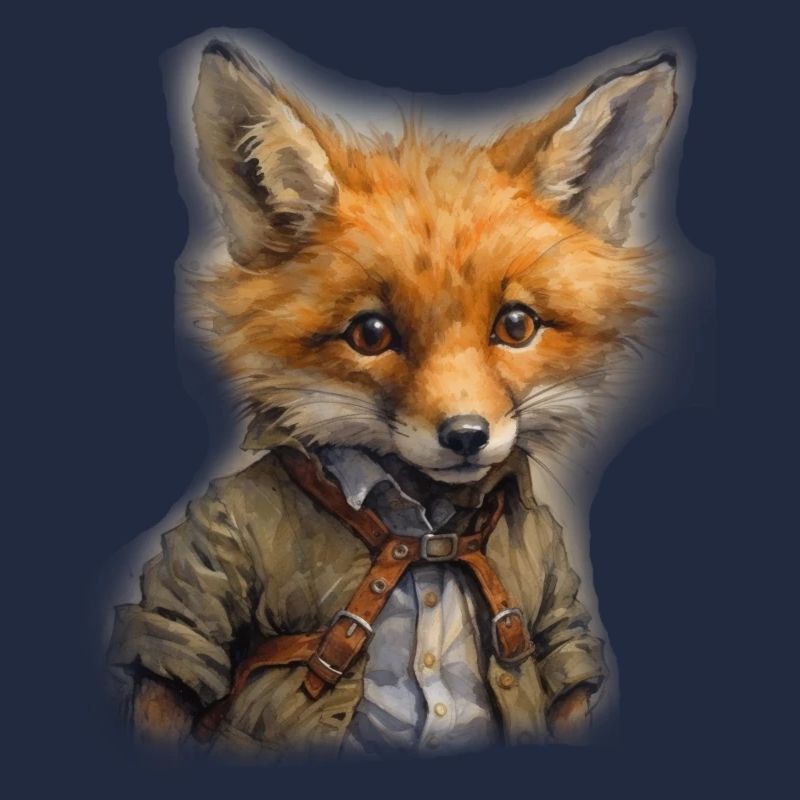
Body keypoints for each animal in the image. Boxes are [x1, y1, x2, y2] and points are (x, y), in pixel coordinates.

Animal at [108, 38, 679, 759]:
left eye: (516, 325)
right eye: (371, 334)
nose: (466, 435)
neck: (429, 529)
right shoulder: (212, 564)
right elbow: (179, 651)